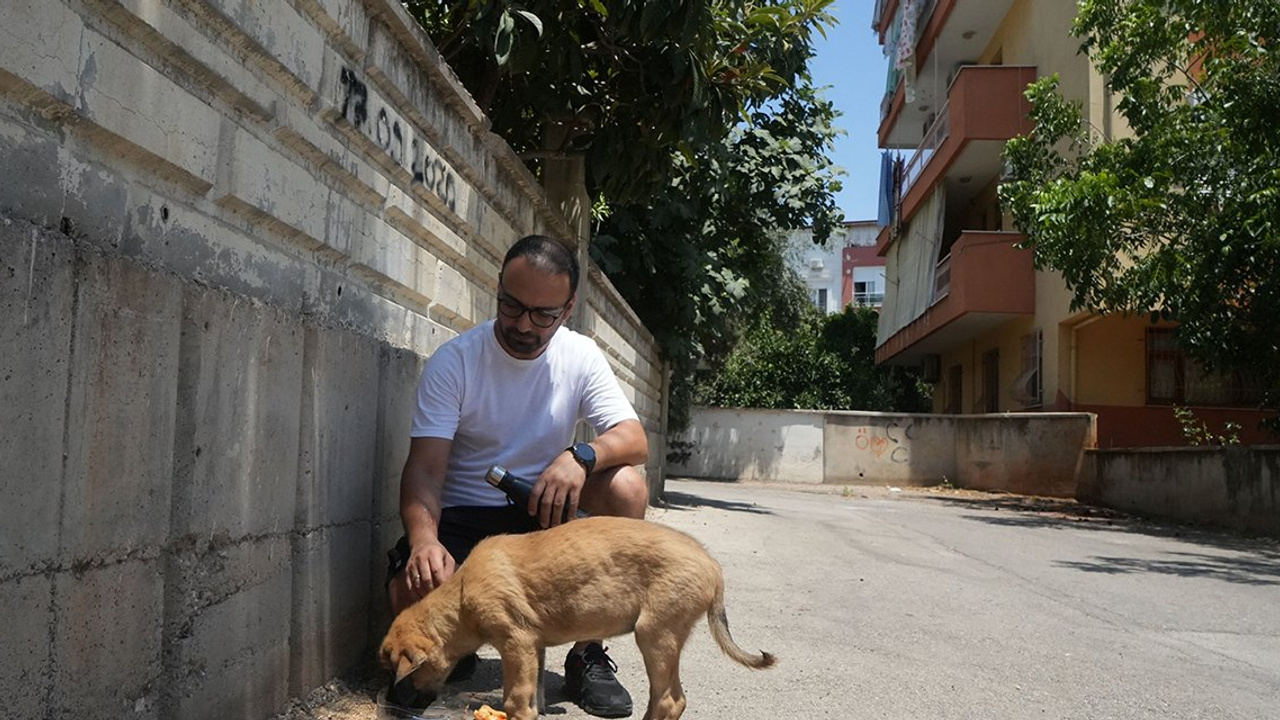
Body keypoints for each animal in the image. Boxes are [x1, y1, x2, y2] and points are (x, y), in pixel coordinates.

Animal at [378, 512, 773, 717]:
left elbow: (516, 699)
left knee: (671, 699)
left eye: (400, 672)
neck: (460, 598)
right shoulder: (533, 647)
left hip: (655, 634)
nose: (394, 703)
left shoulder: (515, 642)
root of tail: (713, 566)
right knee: (666, 698)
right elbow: (534, 695)